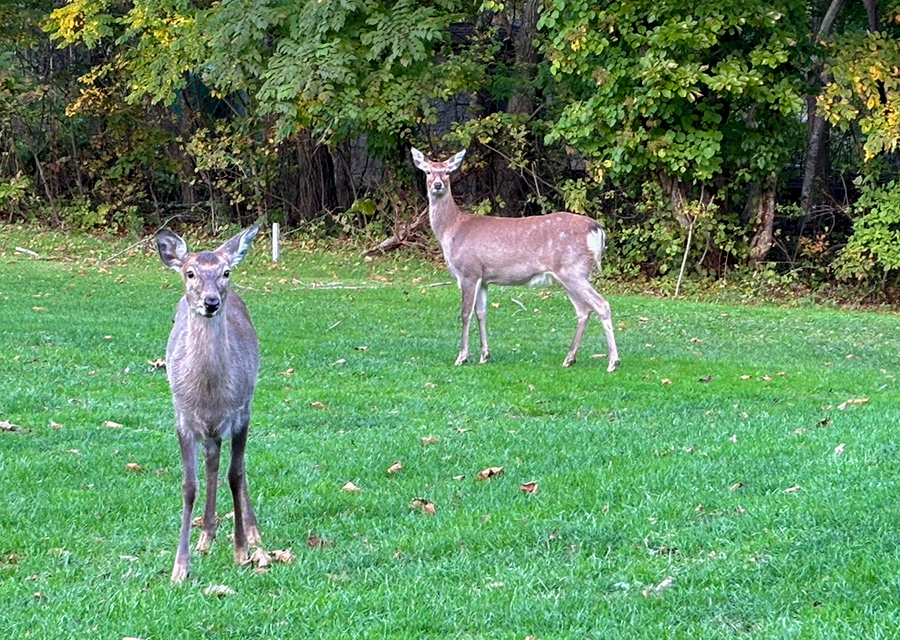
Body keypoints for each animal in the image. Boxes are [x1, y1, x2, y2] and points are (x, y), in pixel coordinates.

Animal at [155, 223, 268, 583]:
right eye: (190, 273)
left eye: (226, 272)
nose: (211, 301)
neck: (209, 394)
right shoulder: (183, 417)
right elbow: (189, 485)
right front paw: (180, 566)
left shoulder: (241, 412)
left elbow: (236, 474)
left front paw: (242, 550)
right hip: (209, 430)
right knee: (212, 460)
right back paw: (206, 534)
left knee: (234, 467)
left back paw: (251, 533)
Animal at [411, 148, 620, 372]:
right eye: (428, 171)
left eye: (448, 172)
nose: (437, 185)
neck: (452, 230)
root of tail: (597, 230)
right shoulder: (483, 278)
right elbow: (481, 312)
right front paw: (485, 355)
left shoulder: (468, 271)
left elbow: (465, 313)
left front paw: (462, 357)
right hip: (570, 274)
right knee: (583, 310)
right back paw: (569, 359)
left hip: (574, 270)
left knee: (601, 305)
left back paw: (612, 361)